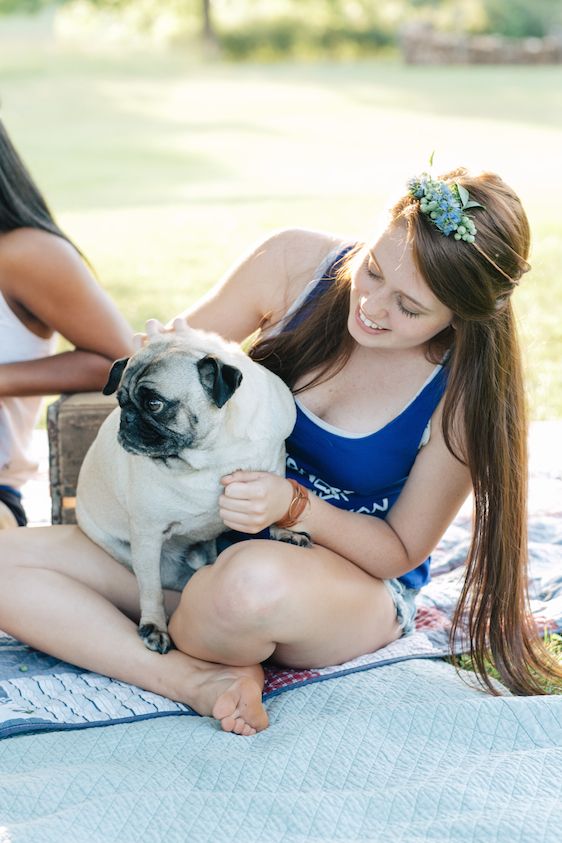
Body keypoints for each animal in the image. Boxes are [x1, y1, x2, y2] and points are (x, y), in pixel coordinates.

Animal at [75, 326, 308, 656]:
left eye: (154, 404)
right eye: (120, 401)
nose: (127, 418)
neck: (211, 451)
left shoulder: (274, 462)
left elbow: (277, 497)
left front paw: (284, 531)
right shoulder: (147, 534)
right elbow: (151, 590)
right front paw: (154, 627)